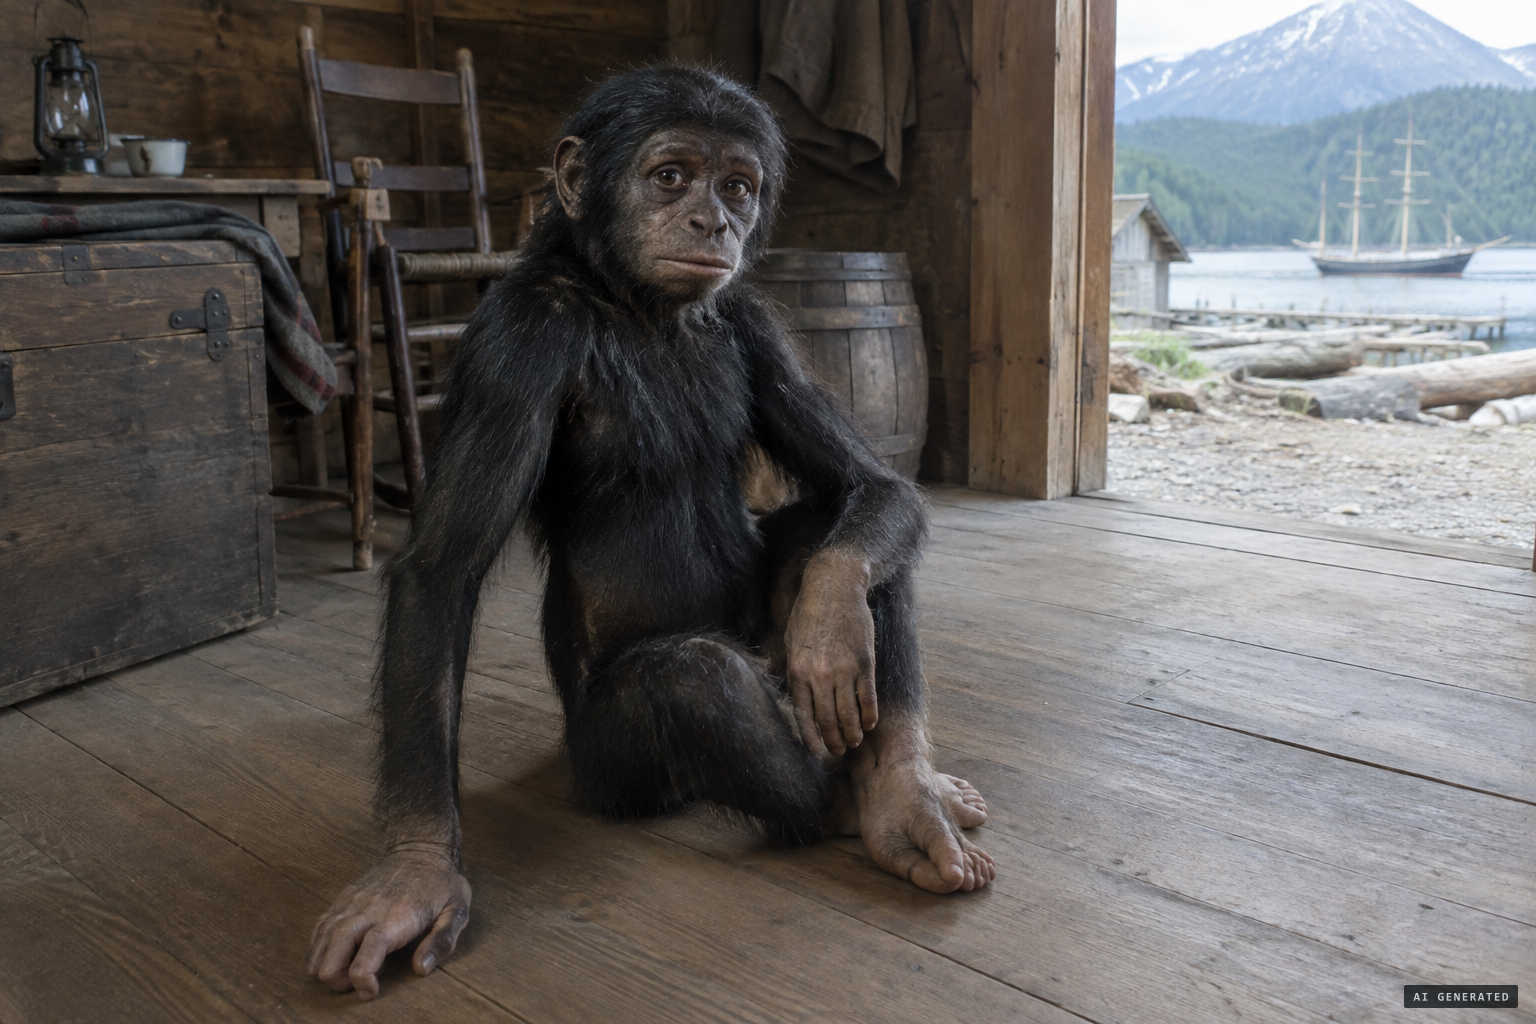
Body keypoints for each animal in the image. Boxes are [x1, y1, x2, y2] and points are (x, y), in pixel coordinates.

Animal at [305, 64, 993, 1000]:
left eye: (737, 186)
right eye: (670, 176)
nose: (713, 220)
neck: (635, 303)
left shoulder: (760, 327)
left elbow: (870, 489)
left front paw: (834, 627)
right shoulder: (519, 341)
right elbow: (442, 570)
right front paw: (414, 873)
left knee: (842, 545)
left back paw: (905, 790)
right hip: (607, 769)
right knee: (698, 676)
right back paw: (858, 805)